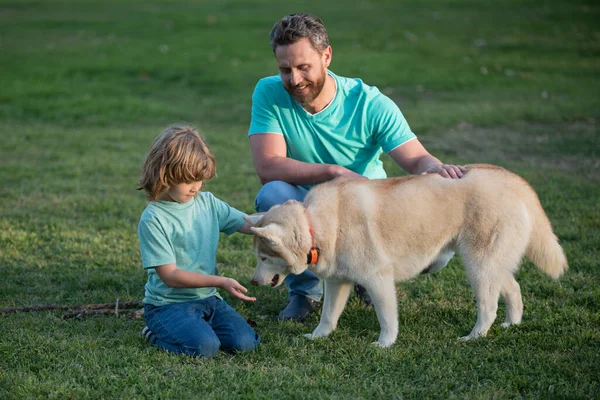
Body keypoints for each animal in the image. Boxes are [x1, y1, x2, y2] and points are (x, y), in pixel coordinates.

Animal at [245, 165, 568, 346]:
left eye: (263, 258)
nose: (253, 282)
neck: (317, 223)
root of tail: (512, 178)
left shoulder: (378, 280)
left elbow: (387, 318)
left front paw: (385, 344)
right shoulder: (337, 282)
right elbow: (328, 316)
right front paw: (318, 336)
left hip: (478, 265)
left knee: (488, 307)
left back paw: (474, 336)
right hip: (491, 264)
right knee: (513, 288)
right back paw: (512, 324)